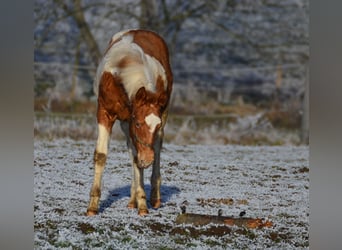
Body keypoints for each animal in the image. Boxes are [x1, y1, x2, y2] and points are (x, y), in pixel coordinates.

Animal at [85, 29, 171, 216]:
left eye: (156, 125)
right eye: (138, 123)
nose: (147, 159)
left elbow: (140, 157)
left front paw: (143, 203)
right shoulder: (105, 114)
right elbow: (102, 155)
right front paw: (92, 207)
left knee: (156, 149)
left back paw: (153, 197)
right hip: (124, 124)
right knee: (133, 154)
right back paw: (132, 200)